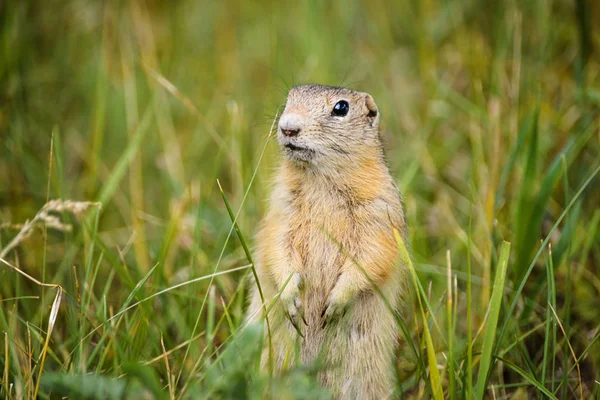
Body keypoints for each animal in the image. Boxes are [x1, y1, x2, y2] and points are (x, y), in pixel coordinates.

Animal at [245, 83, 408, 398]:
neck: (321, 178)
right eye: (289, 98)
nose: (288, 127)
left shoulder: (380, 212)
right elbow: (278, 245)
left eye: (341, 108)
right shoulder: (281, 207)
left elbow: (372, 254)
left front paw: (334, 305)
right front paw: (292, 300)